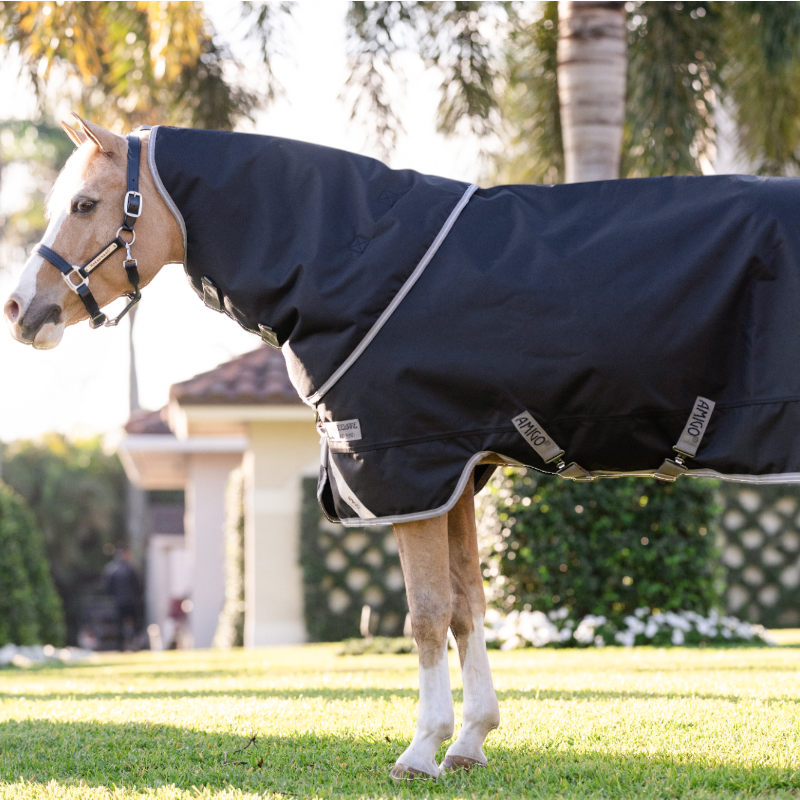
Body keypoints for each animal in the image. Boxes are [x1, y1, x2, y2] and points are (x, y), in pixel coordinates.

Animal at [7, 114, 800, 781]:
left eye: (85, 205)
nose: (19, 309)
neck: (353, 261)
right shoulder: (457, 473)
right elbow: (466, 605)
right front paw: (471, 740)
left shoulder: (406, 465)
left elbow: (424, 614)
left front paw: (422, 749)